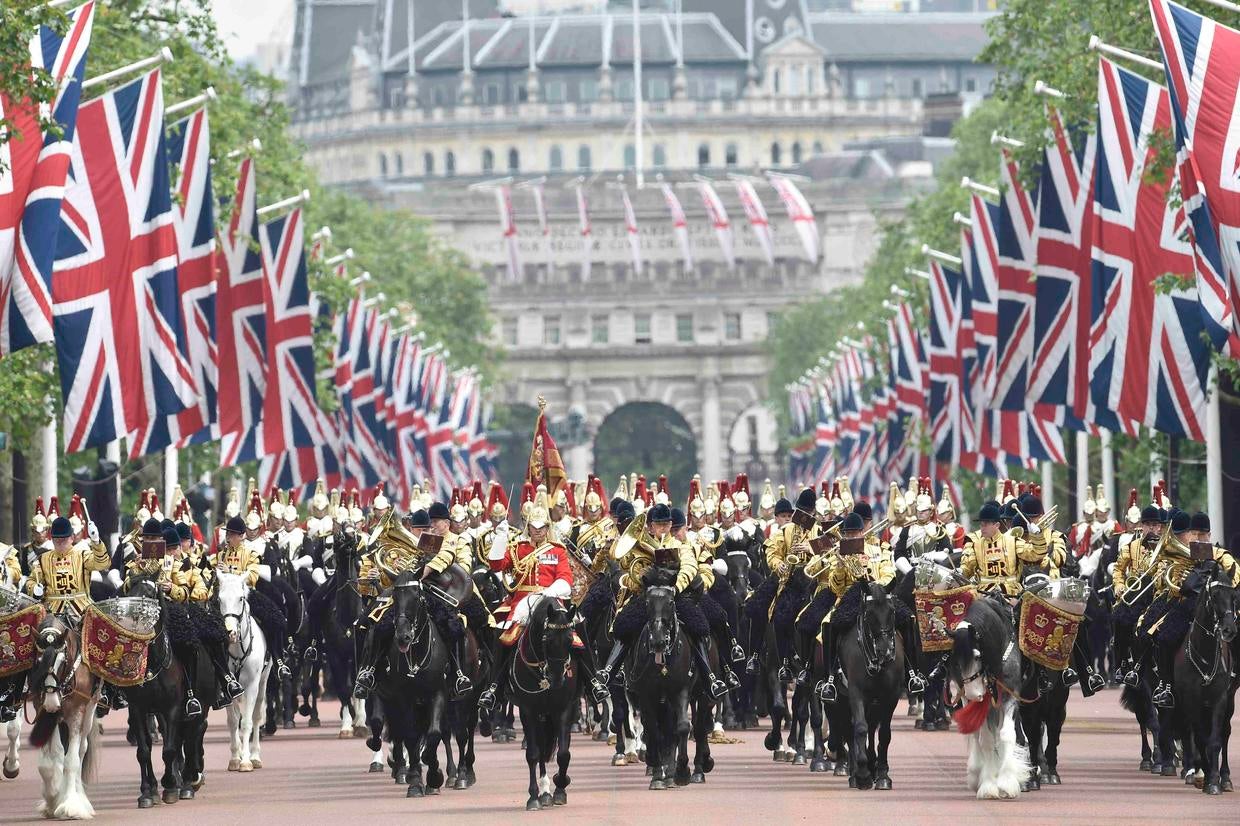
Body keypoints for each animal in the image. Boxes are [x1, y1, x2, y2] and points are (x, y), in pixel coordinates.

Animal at [218, 572, 271, 773]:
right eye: (219, 599)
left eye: (240, 598)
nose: (230, 633)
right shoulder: (226, 687)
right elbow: (233, 721)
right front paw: (235, 757)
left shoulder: (251, 686)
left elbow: (247, 722)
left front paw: (246, 760)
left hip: (263, 682)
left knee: (256, 717)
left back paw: (255, 755)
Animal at [503, 595, 580, 808]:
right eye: (548, 639)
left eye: (570, 639)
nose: (557, 680)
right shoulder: (528, 710)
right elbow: (533, 754)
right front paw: (533, 796)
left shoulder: (563, 709)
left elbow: (563, 753)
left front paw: (561, 786)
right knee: (540, 748)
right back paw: (544, 792)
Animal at [1170, 565, 1240, 793]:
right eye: (1215, 595)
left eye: (1234, 596)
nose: (1229, 630)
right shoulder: (1190, 700)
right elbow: (1200, 738)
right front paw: (1207, 775)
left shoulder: (1219, 698)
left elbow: (1215, 740)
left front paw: (1215, 780)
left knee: (1225, 732)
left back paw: (1224, 777)